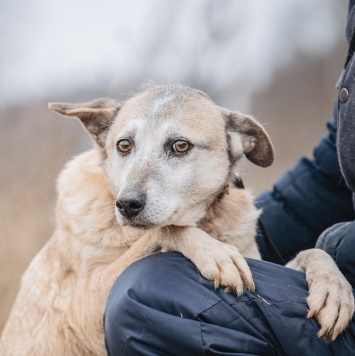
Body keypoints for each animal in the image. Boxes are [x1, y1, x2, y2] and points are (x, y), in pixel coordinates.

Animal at [0, 83, 354, 354]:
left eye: (180, 145)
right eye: (124, 145)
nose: (126, 204)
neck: (205, 223)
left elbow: (313, 252)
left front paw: (333, 286)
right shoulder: (83, 309)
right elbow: (168, 229)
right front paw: (213, 252)